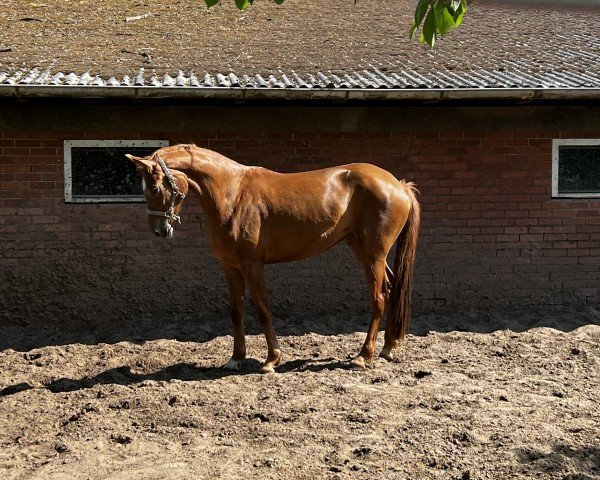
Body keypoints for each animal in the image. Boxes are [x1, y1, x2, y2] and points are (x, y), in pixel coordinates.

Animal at [125, 144, 420, 374]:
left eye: (154, 187)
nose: (159, 230)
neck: (232, 193)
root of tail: (398, 185)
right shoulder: (230, 267)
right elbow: (236, 310)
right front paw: (236, 358)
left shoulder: (253, 265)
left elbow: (262, 308)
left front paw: (271, 359)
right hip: (364, 251)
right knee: (392, 290)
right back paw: (388, 347)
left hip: (373, 255)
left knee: (378, 298)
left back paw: (362, 356)